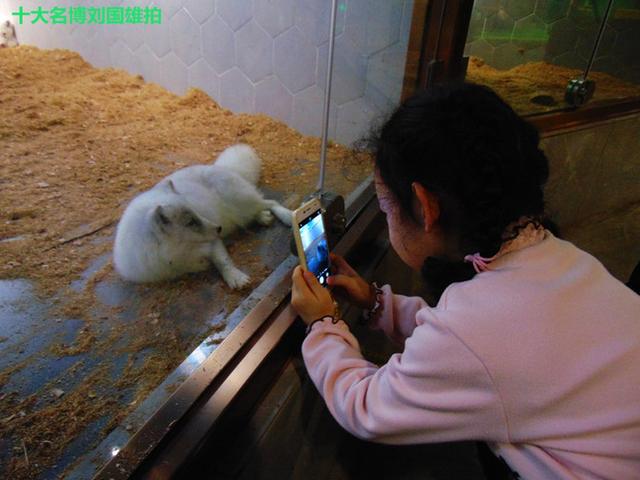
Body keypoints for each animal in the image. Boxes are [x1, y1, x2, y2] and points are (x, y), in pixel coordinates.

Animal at [114, 144, 292, 288]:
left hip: (240, 200)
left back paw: (289, 216)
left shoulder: (213, 241)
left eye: (196, 212)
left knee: (270, 202)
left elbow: (223, 262)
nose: (219, 228)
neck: (177, 252)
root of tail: (221, 167)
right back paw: (263, 217)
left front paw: (235, 277)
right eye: (190, 222)